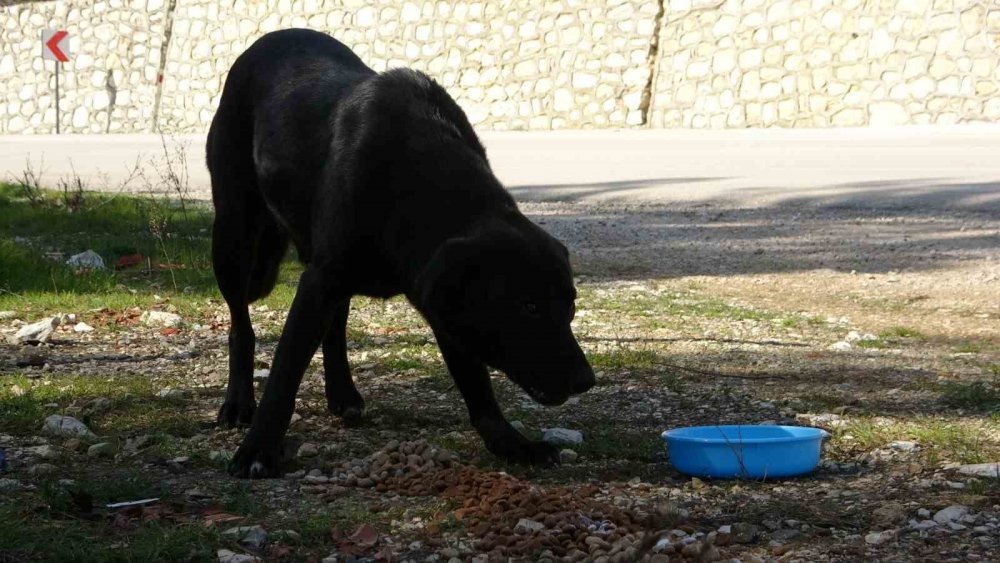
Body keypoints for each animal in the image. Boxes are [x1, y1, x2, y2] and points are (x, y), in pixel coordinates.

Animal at [206, 29, 588, 480]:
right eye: (528, 307)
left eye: (570, 308)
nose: (585, 380)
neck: (419, 185)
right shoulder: (322, 280)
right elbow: (285, 371)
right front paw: (258, 449)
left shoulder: (442, 301)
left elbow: (477, 386)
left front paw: (511, 443)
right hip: (233, 237)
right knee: (241, 325)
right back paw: (238, 403)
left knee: (334, 326)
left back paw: (343, 393)